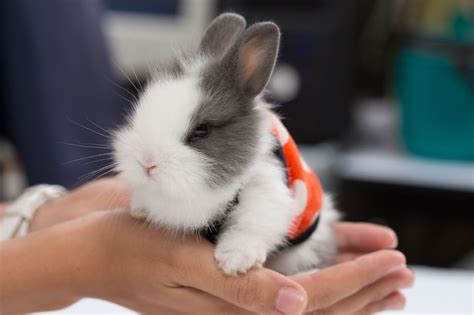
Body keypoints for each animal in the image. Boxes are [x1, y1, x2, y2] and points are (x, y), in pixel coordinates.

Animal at [112, 12, 340, 276]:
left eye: (202, 130)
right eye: (139, 114)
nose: (147, 162)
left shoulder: (267, 191)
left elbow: (251, 226)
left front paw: (235, 262)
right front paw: (139, 208)